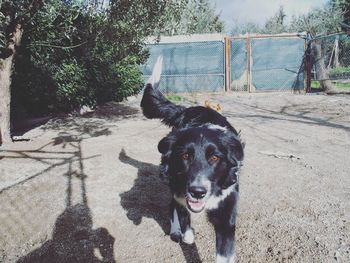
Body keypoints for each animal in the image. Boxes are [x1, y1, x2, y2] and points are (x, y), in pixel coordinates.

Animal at [141, 56, 245, 262]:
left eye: (215, 157)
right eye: (185, 156)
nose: (197, 192)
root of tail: (185, 110)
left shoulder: (226, 216)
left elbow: (224, 253)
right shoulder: (182, 193)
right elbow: (185, 223)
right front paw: (186, 232)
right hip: (173, 181)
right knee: (172, 205)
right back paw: (176, 231)